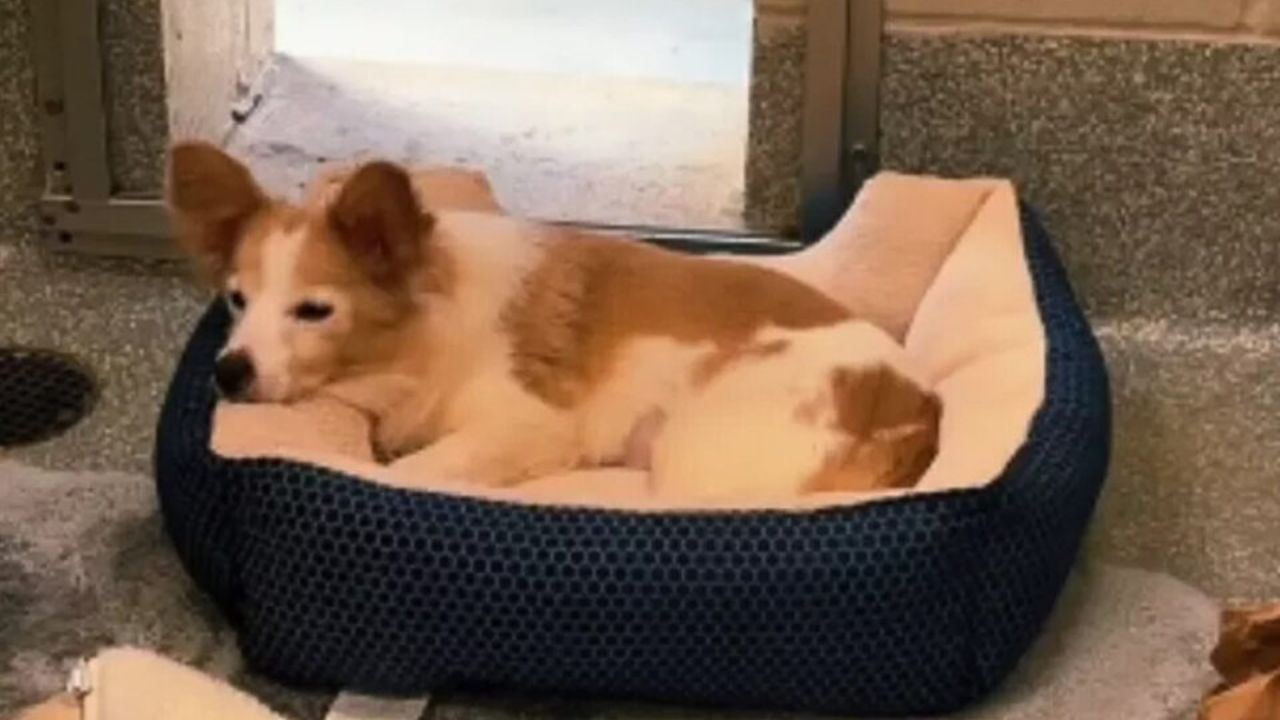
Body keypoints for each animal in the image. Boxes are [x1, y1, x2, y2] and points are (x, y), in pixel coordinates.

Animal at [165, 140, 936, 499]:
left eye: (315, 311)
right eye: (236, 300)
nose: (227, 372)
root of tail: (916, 408)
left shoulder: (528, 426)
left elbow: (419, 471)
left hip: (697, 459)